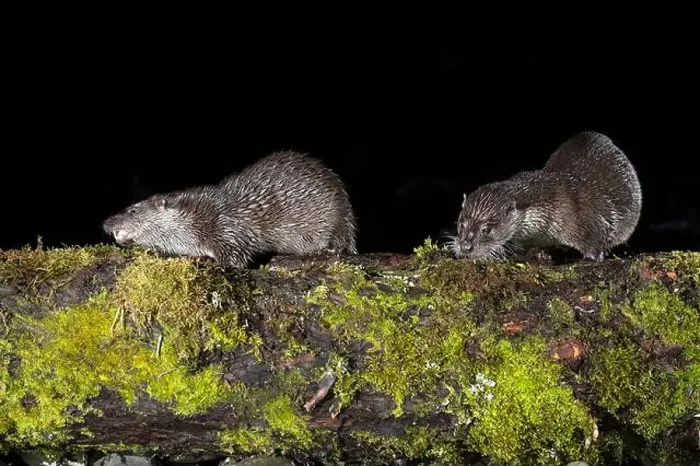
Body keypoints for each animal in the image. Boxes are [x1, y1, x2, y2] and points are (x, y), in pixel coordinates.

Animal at [102, 150, 358, 268]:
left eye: (132, 210)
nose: (106, 222)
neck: (195, 218)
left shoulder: (227, 231)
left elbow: (235, 260)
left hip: (337, 216)